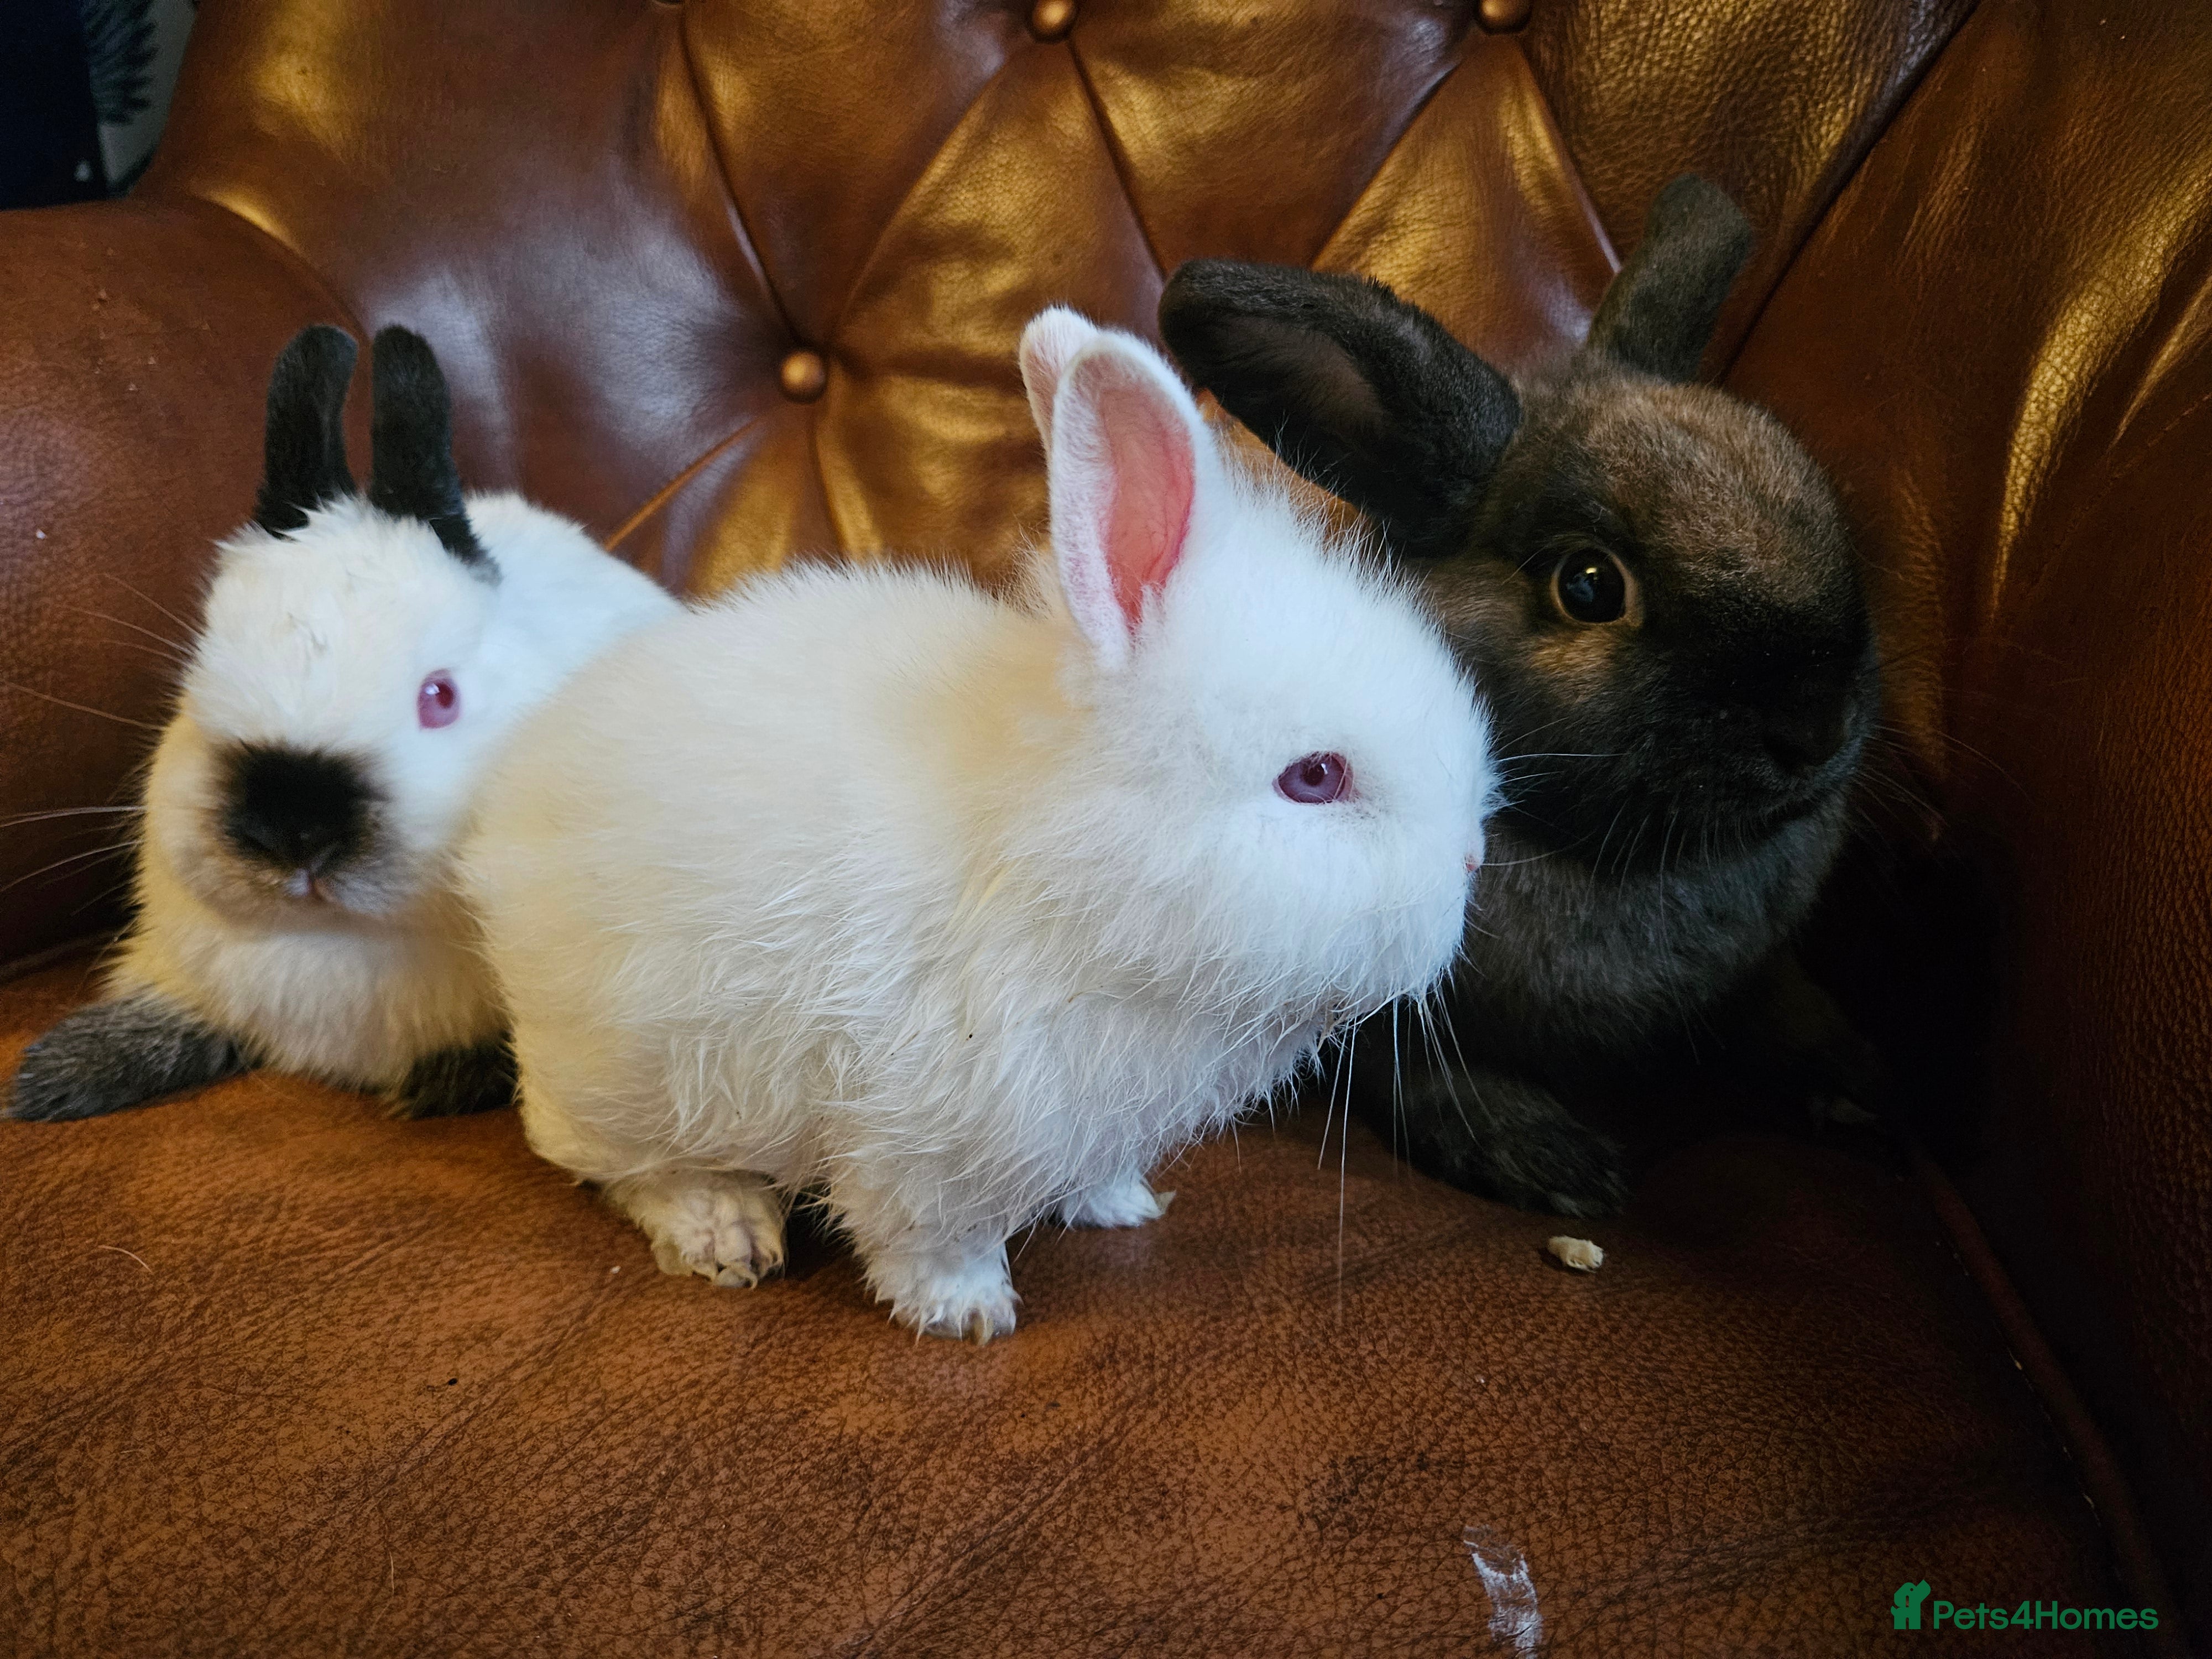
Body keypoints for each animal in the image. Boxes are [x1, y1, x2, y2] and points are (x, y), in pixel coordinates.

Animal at [7, 323, 678, 1124]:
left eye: (440, 697)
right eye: (200, 672)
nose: (296, 832)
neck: (333, 942)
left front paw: (439, 1083)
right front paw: (50, 1078)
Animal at [462, 309, 1497, 1342]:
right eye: (1315, 778)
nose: (1472, 860)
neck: (1061, 862)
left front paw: (1119, 1204)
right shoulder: (924, 1134)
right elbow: (923, 1234)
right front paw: (966, 1314)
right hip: (630, 1073)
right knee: (606, 1159)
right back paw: (724, 1229)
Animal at [1157, 174, 1882, 1218]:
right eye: (1589, 585)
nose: (1815, 728)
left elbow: (1785, 1002)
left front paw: (1859, 1081)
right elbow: (1420, 1073)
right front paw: (1547, 1159)